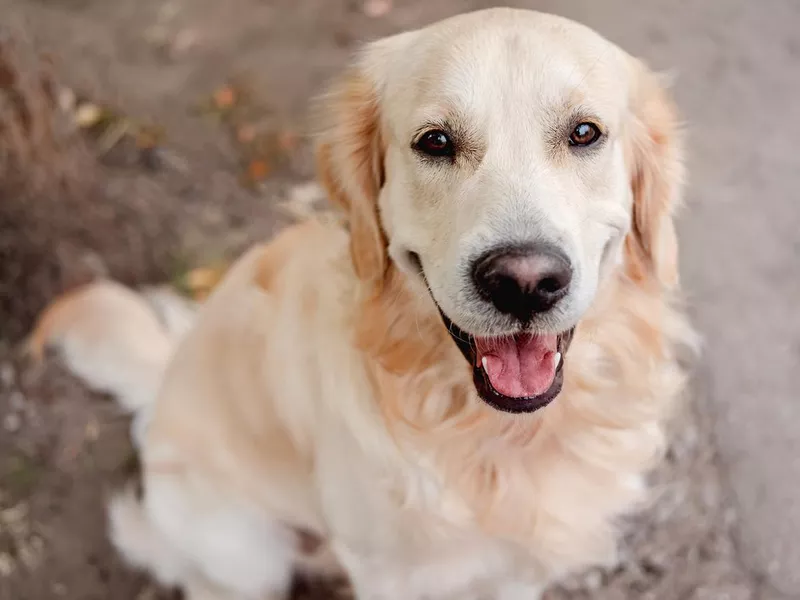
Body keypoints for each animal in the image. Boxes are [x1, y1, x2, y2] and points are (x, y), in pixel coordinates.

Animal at [29, 9, 692, 600]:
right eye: (435, 142)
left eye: (584, 133)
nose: (523, 282)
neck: (498, 436)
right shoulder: (390, 575)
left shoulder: (516, 570)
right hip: (247, 557)